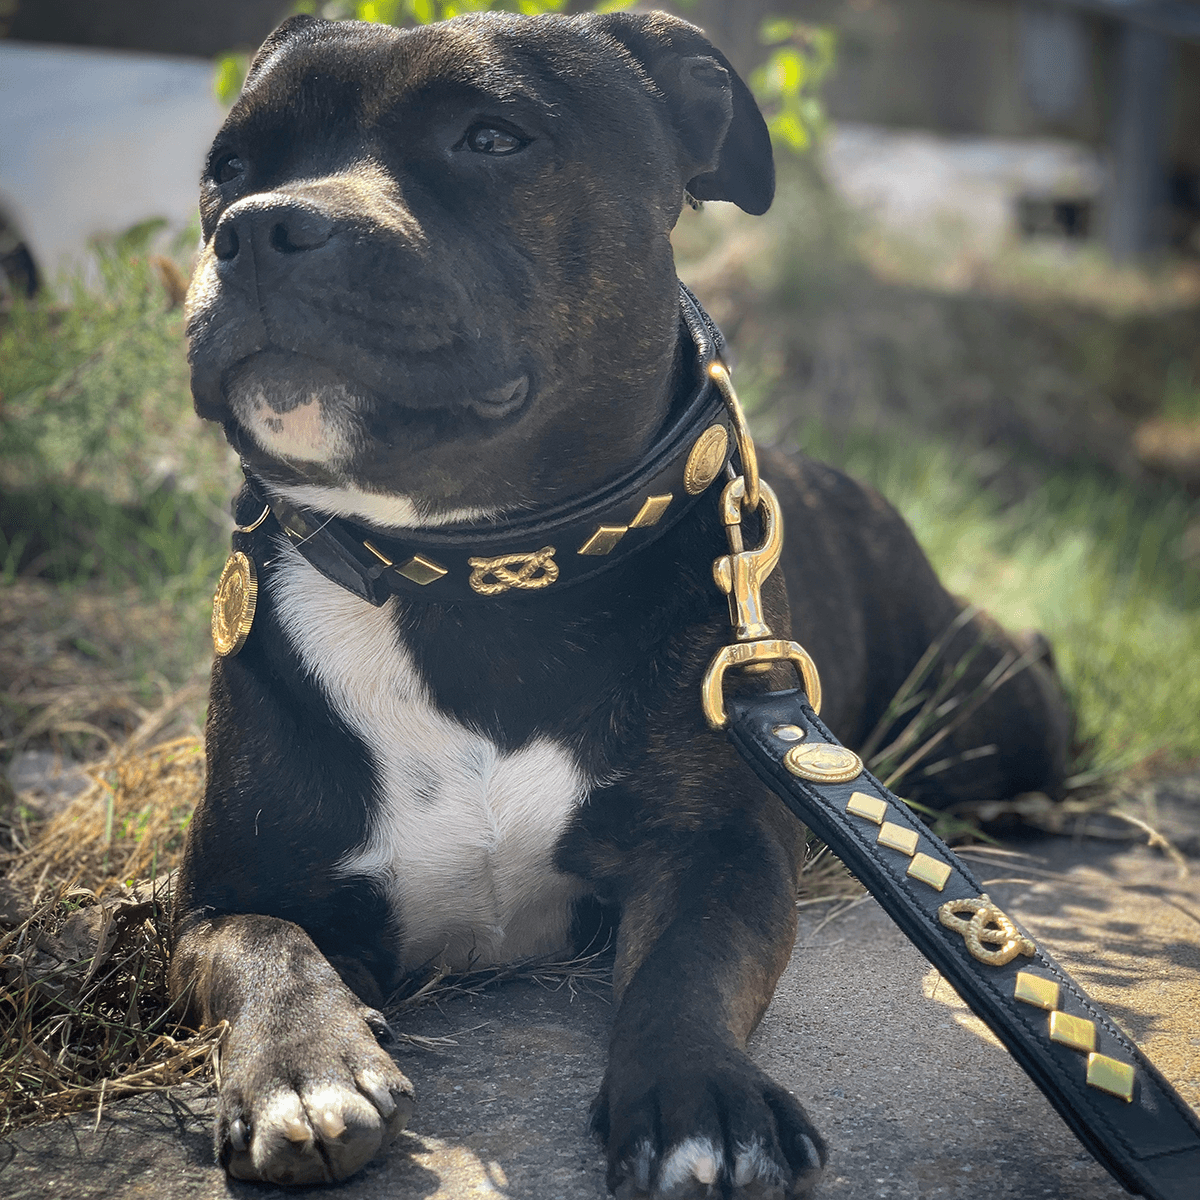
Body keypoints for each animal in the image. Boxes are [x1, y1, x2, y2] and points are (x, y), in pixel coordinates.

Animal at [171, 11, 1070, 1200]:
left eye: (492, 137)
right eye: (227, 170)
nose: (261, 228)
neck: (471, 577)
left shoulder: (719, 855)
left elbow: (683, 970)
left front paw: (700, 1099)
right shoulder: (218, 891)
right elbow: (265, 947)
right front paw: (300, 1071)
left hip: (981, 698)